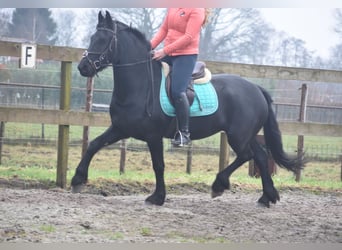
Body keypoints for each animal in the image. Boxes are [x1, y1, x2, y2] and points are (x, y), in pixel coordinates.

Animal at [71, 11, 304, 207]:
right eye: (92, 38)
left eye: (103, 40)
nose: (83, 67)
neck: (141, 84)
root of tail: (256, 88)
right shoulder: (120, 128)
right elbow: (94, 145)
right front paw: (77, 179)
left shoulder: (153, 136)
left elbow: (158, 165)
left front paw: (157, 197)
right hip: (247, 134)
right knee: (261, 157)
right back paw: (267, 197)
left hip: (238, 136)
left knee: (247, 155)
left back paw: (219, 185)